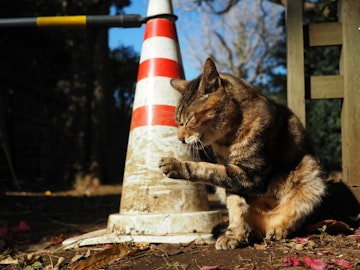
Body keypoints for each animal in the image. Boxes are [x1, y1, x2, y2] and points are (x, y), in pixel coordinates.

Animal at [158, 58, 326, 250]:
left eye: (190, 119)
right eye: (178, 122)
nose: (180, 139)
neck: (225, 140)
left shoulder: (251, 173)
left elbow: (208, 168)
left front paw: (176, 164)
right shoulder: (234, 181)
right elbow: (235, 207)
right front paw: (233, 236)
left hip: (311, 175)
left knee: (294, 216)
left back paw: (278, 229)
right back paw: (254, 233)